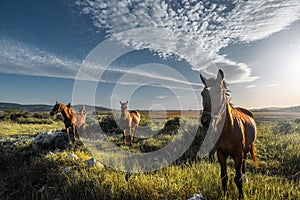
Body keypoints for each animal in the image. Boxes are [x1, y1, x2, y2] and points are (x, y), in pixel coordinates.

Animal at [199, 70, 258, 198]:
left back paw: (245, 178)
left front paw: (241, 195)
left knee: (244, 162)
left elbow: (238, 179)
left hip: (246, 149)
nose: (206, 120)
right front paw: (224, 194)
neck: (228, 130)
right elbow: (224, 177)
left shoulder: (237, 155)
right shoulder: (221, 154)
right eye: (202, 93)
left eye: (219, 91)